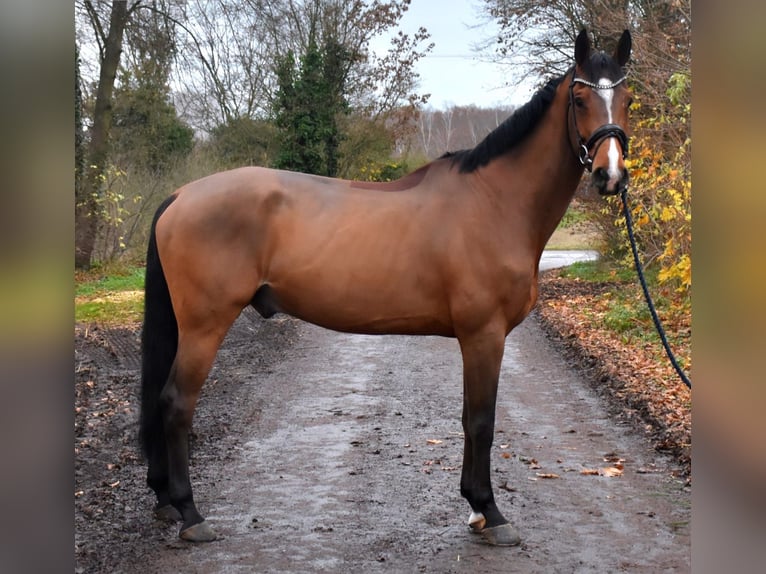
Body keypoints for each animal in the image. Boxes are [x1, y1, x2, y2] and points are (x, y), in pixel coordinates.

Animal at [141, 30, 632, 548]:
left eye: (627, 98)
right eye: (579, 99)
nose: (610, 175)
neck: (495, 202)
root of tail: (180, 195)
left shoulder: (475, 339)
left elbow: (467, 418)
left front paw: (474, 508)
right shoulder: (484, 335)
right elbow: (482, 421)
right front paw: (491, 511)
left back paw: (166, 500)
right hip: (204, 326)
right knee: (176, 403)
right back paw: (191, 513)